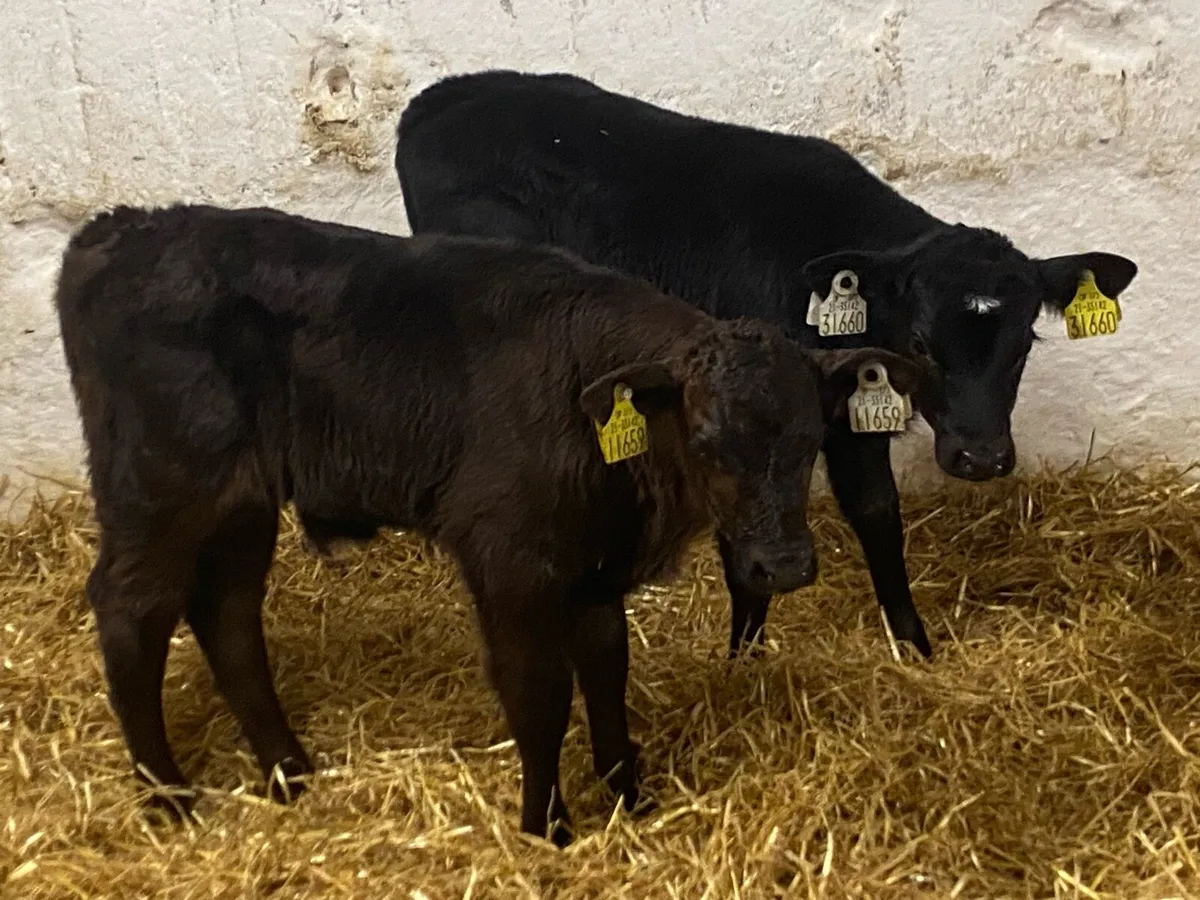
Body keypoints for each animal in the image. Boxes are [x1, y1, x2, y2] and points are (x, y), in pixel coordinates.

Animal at [55, 203, 921, 846]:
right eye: (708, 442)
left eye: (810, 440)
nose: (785, 566)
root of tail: (117, 229)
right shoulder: (509, 559)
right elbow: (538, 694)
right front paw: (548, 828)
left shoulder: (593, 571)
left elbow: (607, 671)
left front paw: (629, 798)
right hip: (157, 491)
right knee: (131, 610)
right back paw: (168, 797)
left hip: (241, 505)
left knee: (227, 614)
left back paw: (288, 771)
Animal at [393, 69, 1139, 660]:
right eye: (922, 343)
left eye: (1024, 346)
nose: (980, 459)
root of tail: (440, 98)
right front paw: (742, 659)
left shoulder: (848, 414)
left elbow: (877, 514)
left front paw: (914, 645)